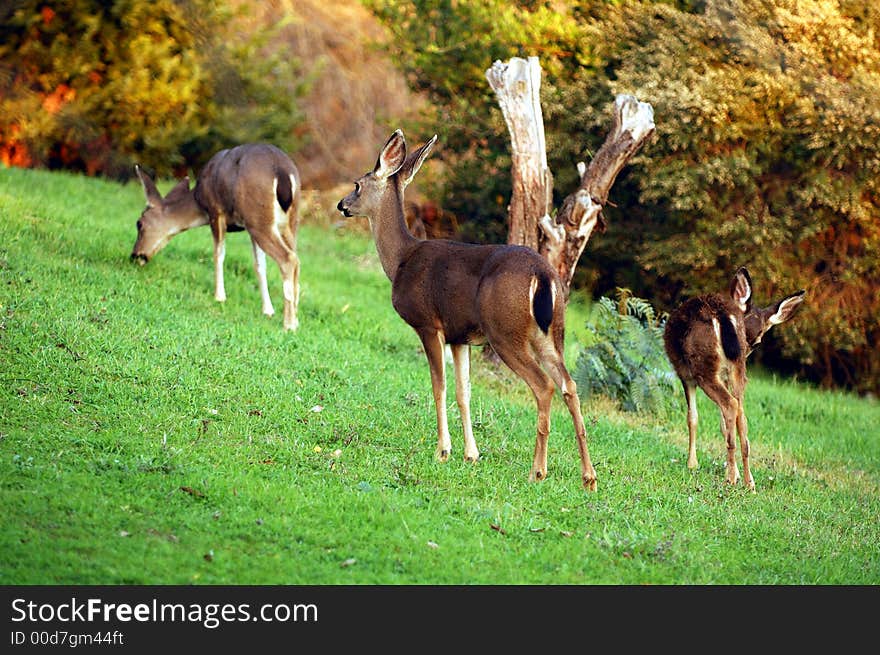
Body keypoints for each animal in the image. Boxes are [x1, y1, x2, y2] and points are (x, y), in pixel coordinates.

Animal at [131, 142, 302, 328]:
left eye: (139, 223)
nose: (135, 255)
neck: (199, 202)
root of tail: (282, 171)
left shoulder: (216, 211)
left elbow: (218, 254)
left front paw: (219, 297)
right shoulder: (248, 230)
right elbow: (259, 266)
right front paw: (268, 310)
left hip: (258, 218)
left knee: (288, 259)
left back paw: (289, 324)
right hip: (287, 223)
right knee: (296, 258)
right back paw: (295, 318)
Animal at [336, 131, 600, 492]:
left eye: (358, 185)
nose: (342, 205)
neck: (401, 259)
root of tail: (543, 275)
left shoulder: (428, 324)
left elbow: (439, 386)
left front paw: (443, 451)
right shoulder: (459, 336)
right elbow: (464, 391)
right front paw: (471, 454)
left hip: (505, 330)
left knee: (543, 385)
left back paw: (537, 470)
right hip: (551, 331)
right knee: (569, 385)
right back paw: (589, 476)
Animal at [668, 266, 804, 486]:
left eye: (756, 342)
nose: (744, 350)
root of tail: (721, 315)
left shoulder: (685, 375)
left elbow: (692, 417)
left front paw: (692, 464)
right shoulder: (725, 376)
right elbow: (724, 425)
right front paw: (736, 472)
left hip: (702, 368)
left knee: (730, 404)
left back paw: (731, 478)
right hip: (737, 373)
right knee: (740, 413)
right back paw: (748, 481)